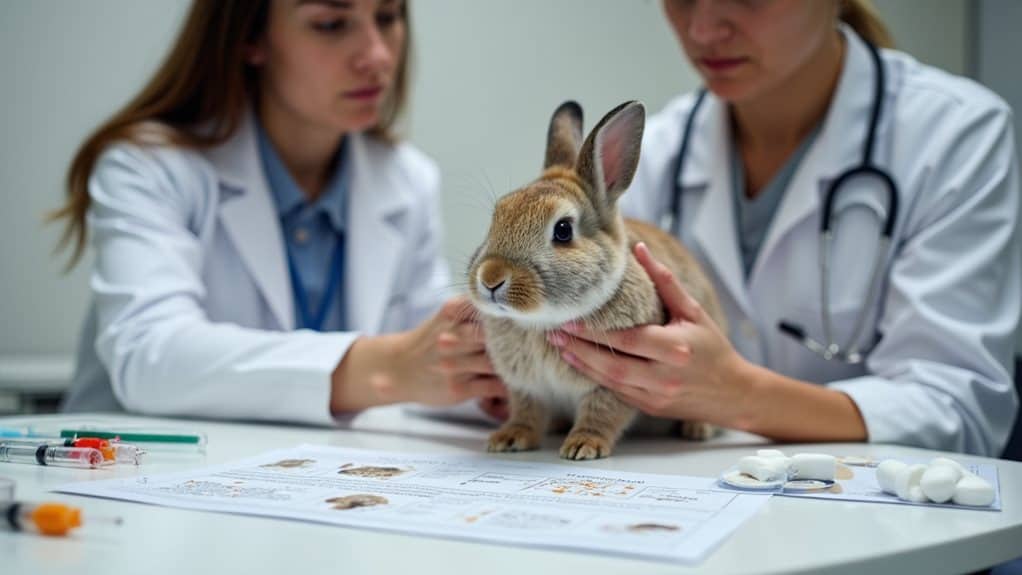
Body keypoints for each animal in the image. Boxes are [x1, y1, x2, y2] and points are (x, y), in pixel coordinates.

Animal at [466, 100, 727, 460]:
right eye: (498, 215)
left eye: (563, 230)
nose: (491, 278)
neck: (543, 323)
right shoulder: (525, 386)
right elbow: (525, 411)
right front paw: (510, 438)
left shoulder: (614, 384)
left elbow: (601, 413)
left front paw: (583, 446)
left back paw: (696, 429)